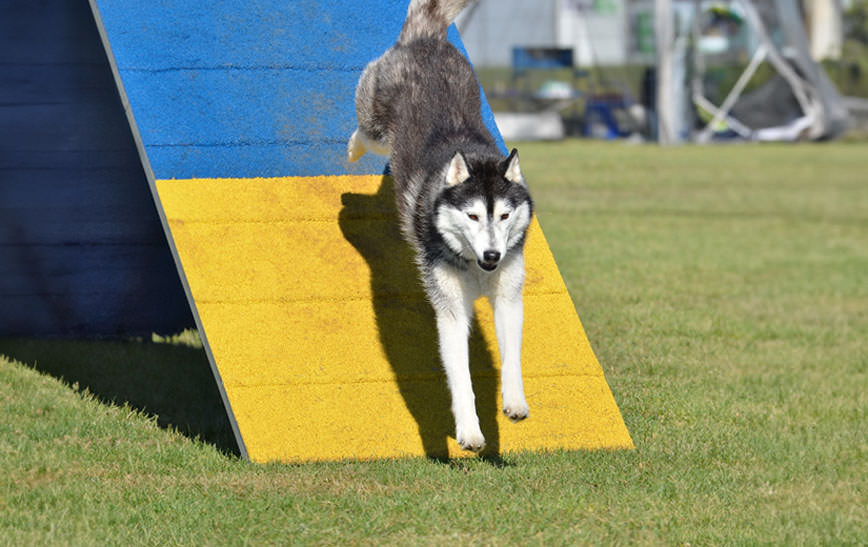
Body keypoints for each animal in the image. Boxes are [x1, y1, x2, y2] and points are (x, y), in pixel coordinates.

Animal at [350, 0, 532, 454]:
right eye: (472, 216)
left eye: (504, 216)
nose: (492, 255)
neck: (474, 266)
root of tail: (428, 38)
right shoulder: (450, 310)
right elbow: (461, 377)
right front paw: (469, 431)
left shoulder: (508, 298)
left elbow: (512, 356)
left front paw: (514, 401)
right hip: (378, 122)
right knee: (365, 131)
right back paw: (352, 150)